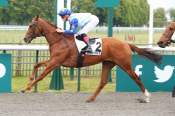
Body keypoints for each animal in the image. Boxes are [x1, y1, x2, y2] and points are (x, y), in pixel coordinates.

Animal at [22, 15, 162, 103]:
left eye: (31, 25)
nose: (25, 38)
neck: (59, 40)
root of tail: (126, 43)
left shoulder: (55, 62)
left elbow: (41, 75)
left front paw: (26, 88)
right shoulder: (54, 61)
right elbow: (36, 64)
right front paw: (29, 80)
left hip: (124, 64)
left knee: (136, 77)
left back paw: (147, 97)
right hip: (108, 63)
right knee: (103, 82)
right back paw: (90, 98)